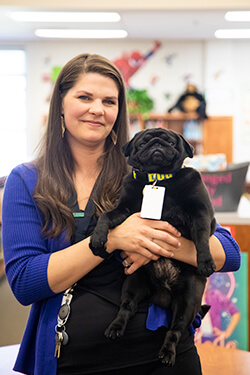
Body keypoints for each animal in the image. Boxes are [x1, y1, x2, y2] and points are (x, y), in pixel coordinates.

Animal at [90, 129, 217, 368]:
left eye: (171, 142)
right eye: (142, 143)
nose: (157, 143)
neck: (159, 180)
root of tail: (163, 293)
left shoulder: (201, 214)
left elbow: (202, 237)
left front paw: (205, 261)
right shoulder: (124, 209)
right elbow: (106, 216)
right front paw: (98, 237)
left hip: (188, 301)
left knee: (175, 329)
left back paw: (168, 353)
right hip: (134, 283)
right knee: (127, 308)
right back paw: (115, 328)